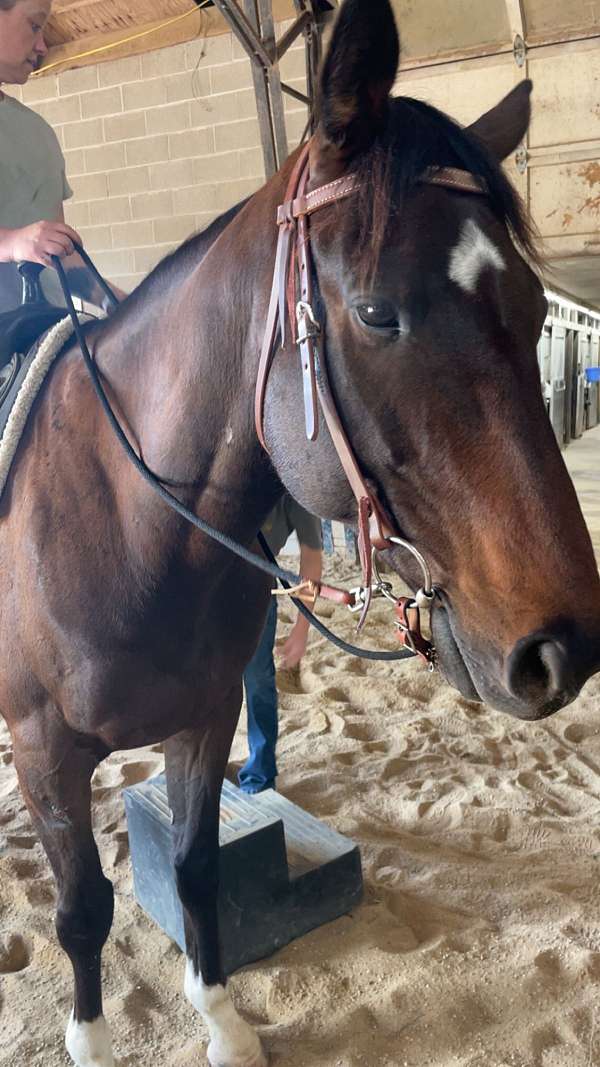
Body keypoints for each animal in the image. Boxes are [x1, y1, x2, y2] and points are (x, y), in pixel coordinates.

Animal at [1, 0, 599, 1063]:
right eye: (375, 311)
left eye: (536, 310)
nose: (564, 649)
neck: (130, 530)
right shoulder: (44, 753)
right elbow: (79, 911)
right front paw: (89, 1037)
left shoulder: (203, 719)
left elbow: (196, 871)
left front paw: (221, 1018)